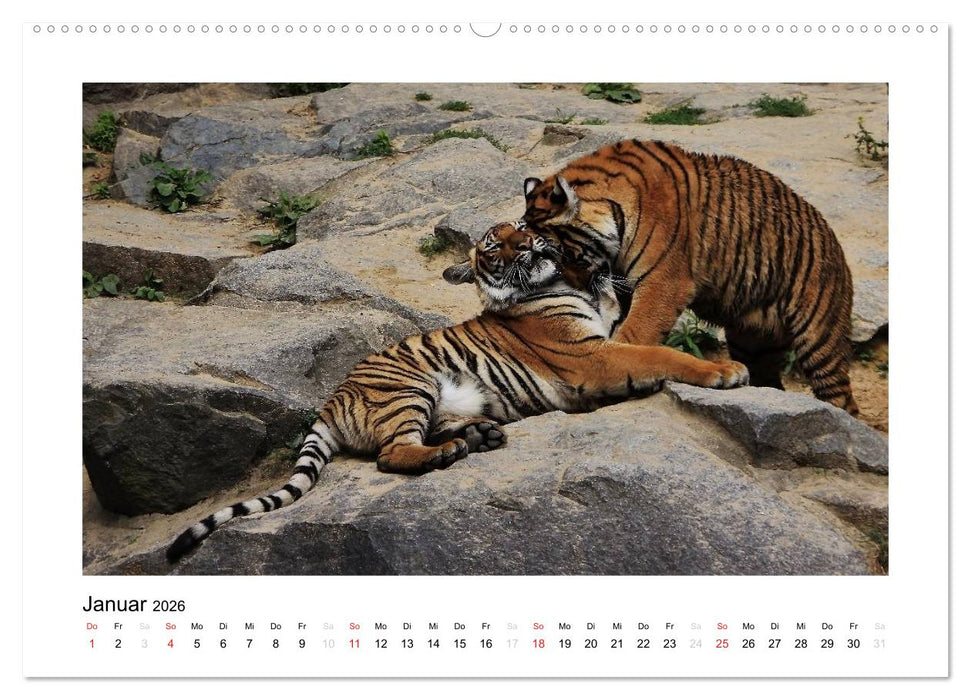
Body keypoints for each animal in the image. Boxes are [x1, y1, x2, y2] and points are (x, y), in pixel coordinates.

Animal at [165, 221, 749, 563]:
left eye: (520, 230)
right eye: (494, 245)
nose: (529, 244)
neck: (567, 283)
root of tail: (331, 400)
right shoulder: (591, 355)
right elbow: (659, 354)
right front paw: (726, 371)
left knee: (435, 431)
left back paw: (479, 437)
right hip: (409, 388)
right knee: (393, 453)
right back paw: (447, 453)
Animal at [522, 138, 859, 415]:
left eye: (561, 256)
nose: (575, 289)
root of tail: (836, 245)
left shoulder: (663, 283)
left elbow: (635, 335)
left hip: (819, 339)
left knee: (842, 398)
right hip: (752, 342)